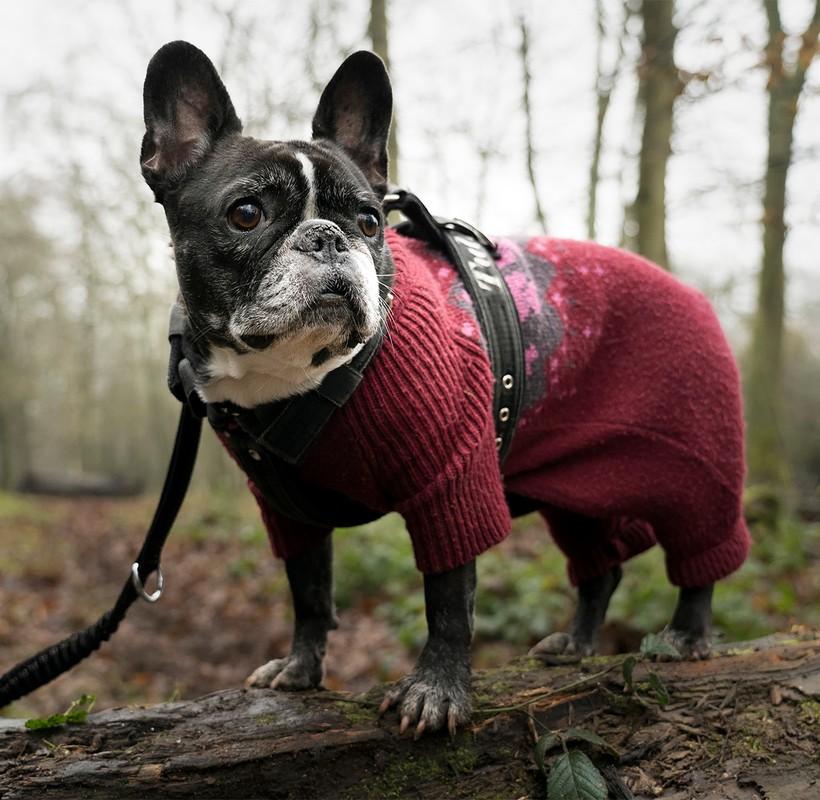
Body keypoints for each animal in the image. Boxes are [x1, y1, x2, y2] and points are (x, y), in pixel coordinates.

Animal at [141, 41, 750, 737]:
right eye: (246, 214)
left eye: (368, 220)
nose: (329, 237)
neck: (300, 377)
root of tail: (691, 292)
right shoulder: (288, 510)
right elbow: (309, 589)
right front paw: (300, 668)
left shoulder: (450, 480)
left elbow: (449, 596)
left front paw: (436, 691)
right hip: (575, 496)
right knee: (602, 565)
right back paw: (575, 644)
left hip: (696, 463)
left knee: (701, 546)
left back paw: (686, 634)